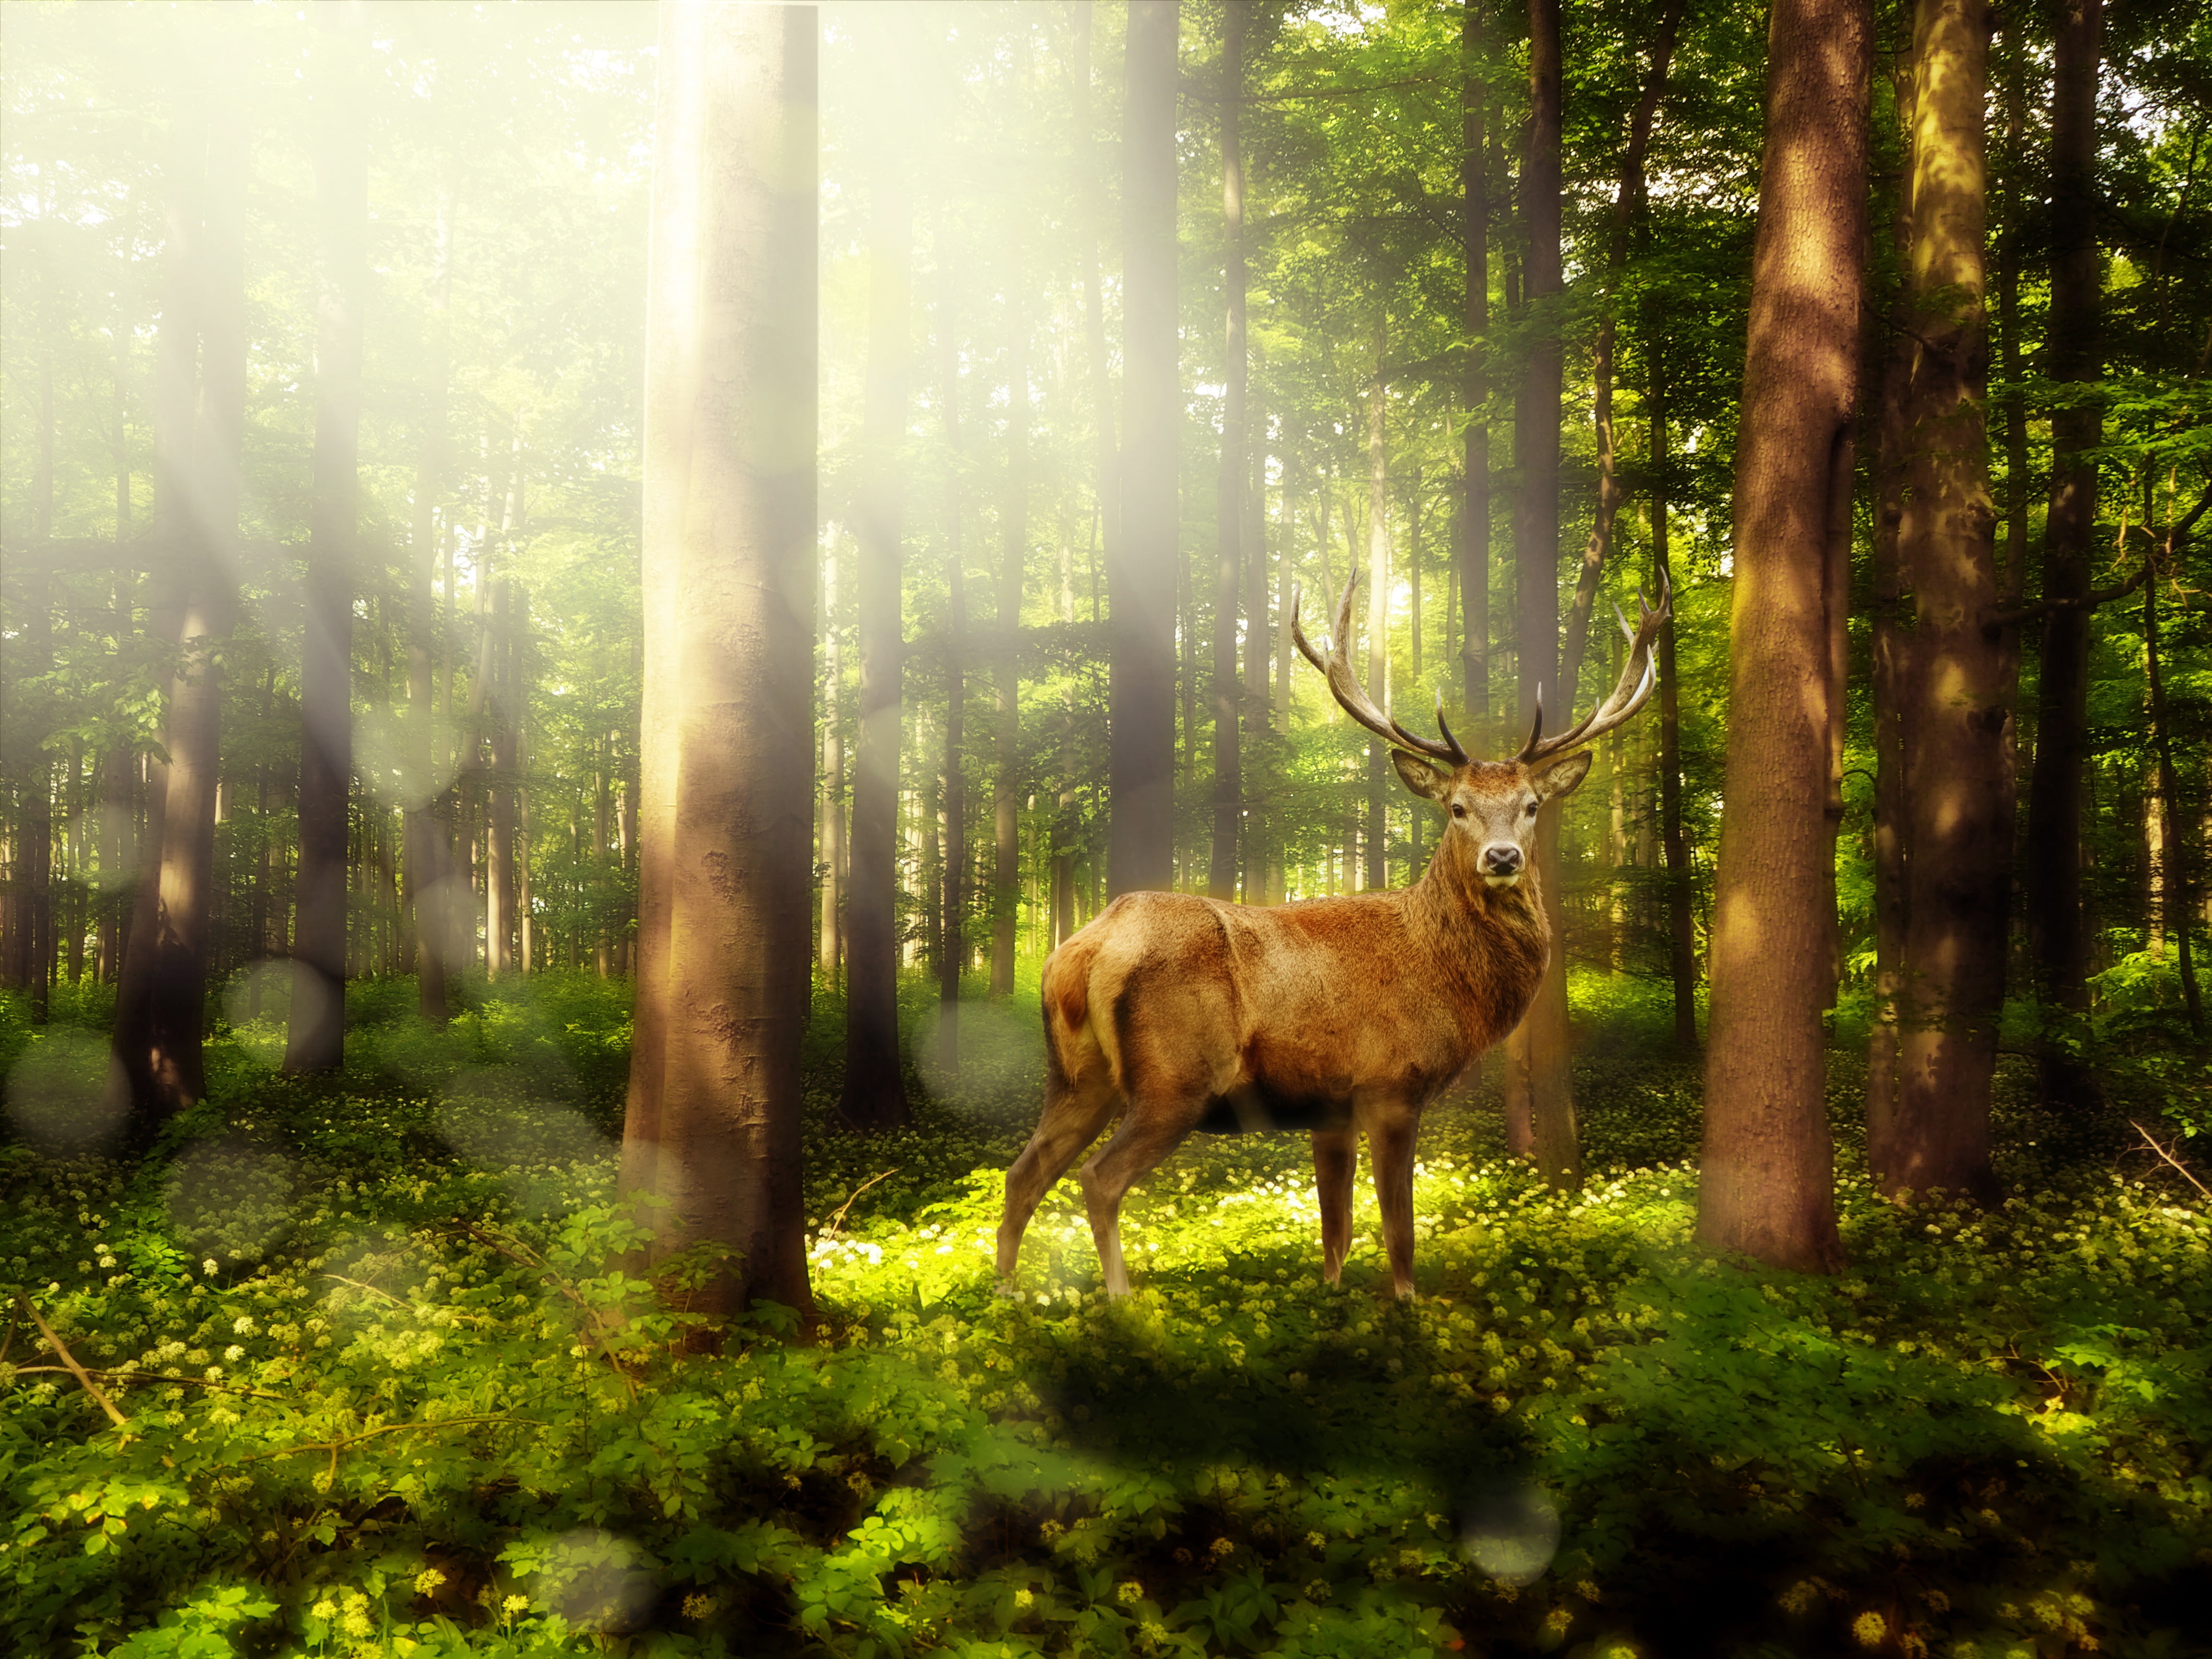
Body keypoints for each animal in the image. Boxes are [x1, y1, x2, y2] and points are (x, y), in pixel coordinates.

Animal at [995, 570, 1663, 1300]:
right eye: (1457, 808)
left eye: (1532, 806)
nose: (1503, 857)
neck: (1446, 978)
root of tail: (1084, 948)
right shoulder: (1391, 1083)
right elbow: (1399, 1230)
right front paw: (1405, 1304)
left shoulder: (1330, 1109)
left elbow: (1335, 1230)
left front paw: (1334, 1295)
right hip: (1175, 1078)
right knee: (1098, 1179)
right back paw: (1121, 1302)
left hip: (1075, 1076)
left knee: (1022, 1174)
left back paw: (1005, 1296)